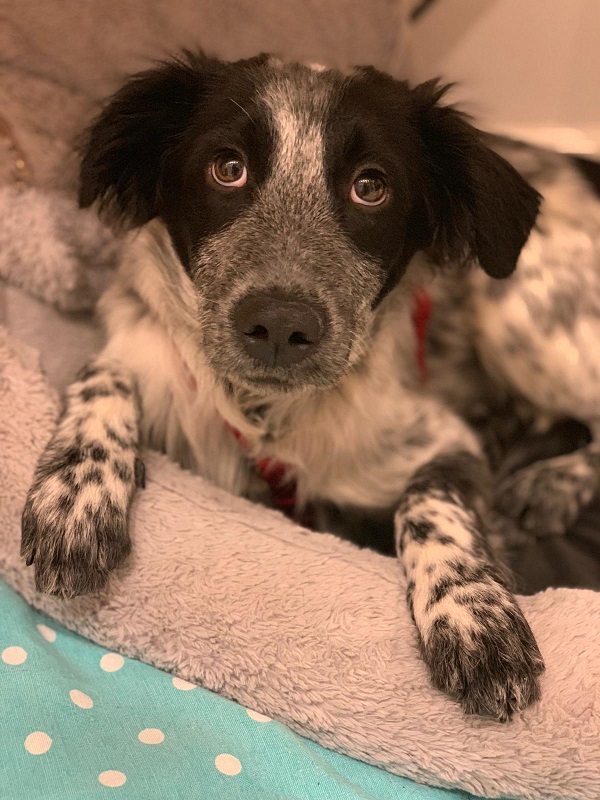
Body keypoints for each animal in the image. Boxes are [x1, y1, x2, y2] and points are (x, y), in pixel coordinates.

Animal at [22, 51, 570, 722]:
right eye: (228, 168)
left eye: (371, 186)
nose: (281, 324)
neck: (268, 415)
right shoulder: (139, 351)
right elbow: (101, 378)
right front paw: (75, 497)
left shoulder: (444, 441)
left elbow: (431, 504)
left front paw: (474, 614)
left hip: (521, 319)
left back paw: (554, 482)